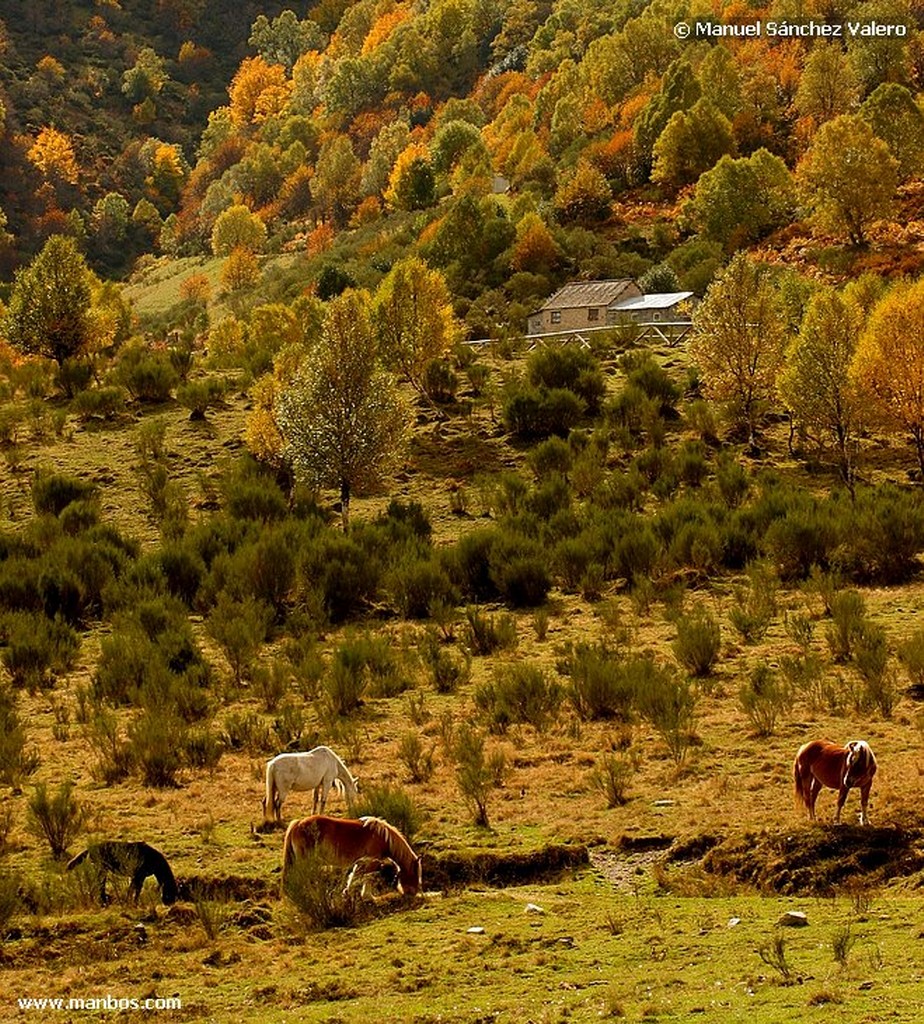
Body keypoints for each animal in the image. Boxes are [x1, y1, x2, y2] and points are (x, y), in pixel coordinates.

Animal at [282, 815, 424, 897]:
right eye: (414, 874)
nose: (412, 893)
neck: (382, 836)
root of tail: (298, 823)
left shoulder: (360, 862)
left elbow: (354, 876)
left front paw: (346, 893)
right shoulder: (372, 861)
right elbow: (368, 877)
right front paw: (367, 896)